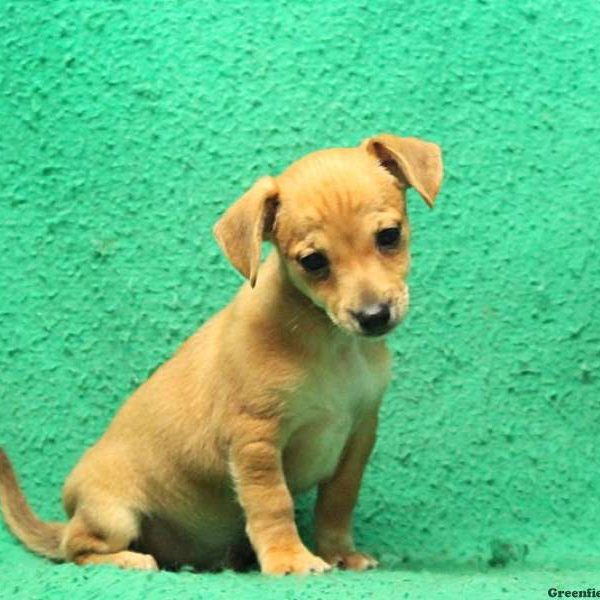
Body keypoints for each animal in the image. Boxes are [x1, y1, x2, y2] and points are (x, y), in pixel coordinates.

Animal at [0, 134, 440, 576]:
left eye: (389, 236)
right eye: (314, 261)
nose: (374, 316)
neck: (332, 344)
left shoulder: (358, 435)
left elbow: (337, 502)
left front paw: (339, 552)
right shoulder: (255, 441)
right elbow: (273, 505)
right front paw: (289, 558)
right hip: (113, 517)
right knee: (76, 548)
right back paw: (128, 559)